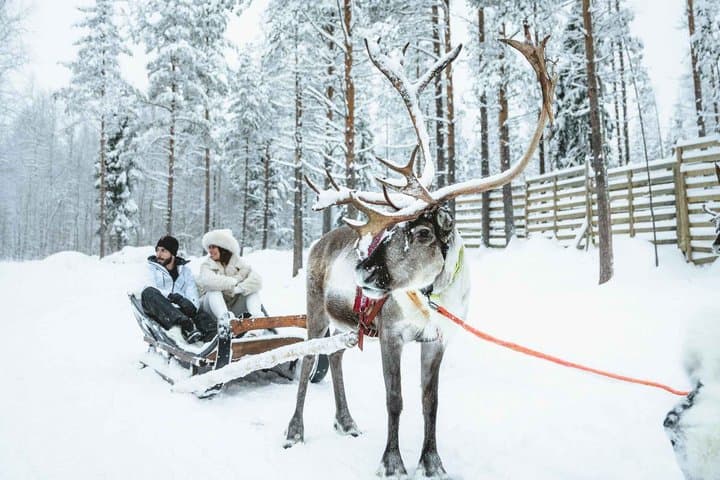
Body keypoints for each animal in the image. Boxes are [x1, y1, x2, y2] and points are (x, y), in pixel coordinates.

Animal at [283, 30, 556, 478]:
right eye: (393, 229)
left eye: (424, 232)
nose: (363, 270)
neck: (432, 299)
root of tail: (319, 243)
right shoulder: (391, 336)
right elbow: (395, 399)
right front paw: (392, 462)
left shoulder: (438, 340)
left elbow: (431, 402)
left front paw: (432, 461)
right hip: (314, 309)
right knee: (307, 364)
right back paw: (295, 431)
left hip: (342, 324)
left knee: (335, 359)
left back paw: (346, 420)